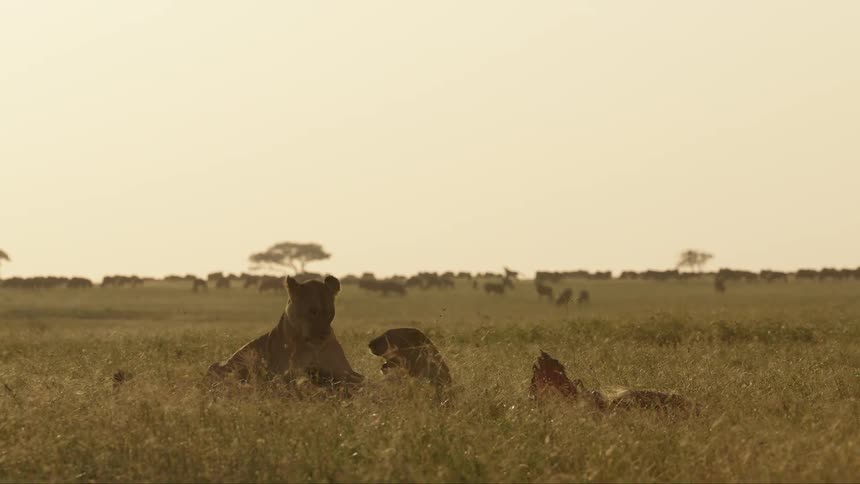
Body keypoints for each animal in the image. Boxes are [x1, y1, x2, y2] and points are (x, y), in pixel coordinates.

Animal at [207, 275, 364, 386]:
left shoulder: (345, 371)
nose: (324, 335)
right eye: (312, 311)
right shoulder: (286, 372)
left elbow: (360, 379)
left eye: (330, 313)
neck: (314, 348)